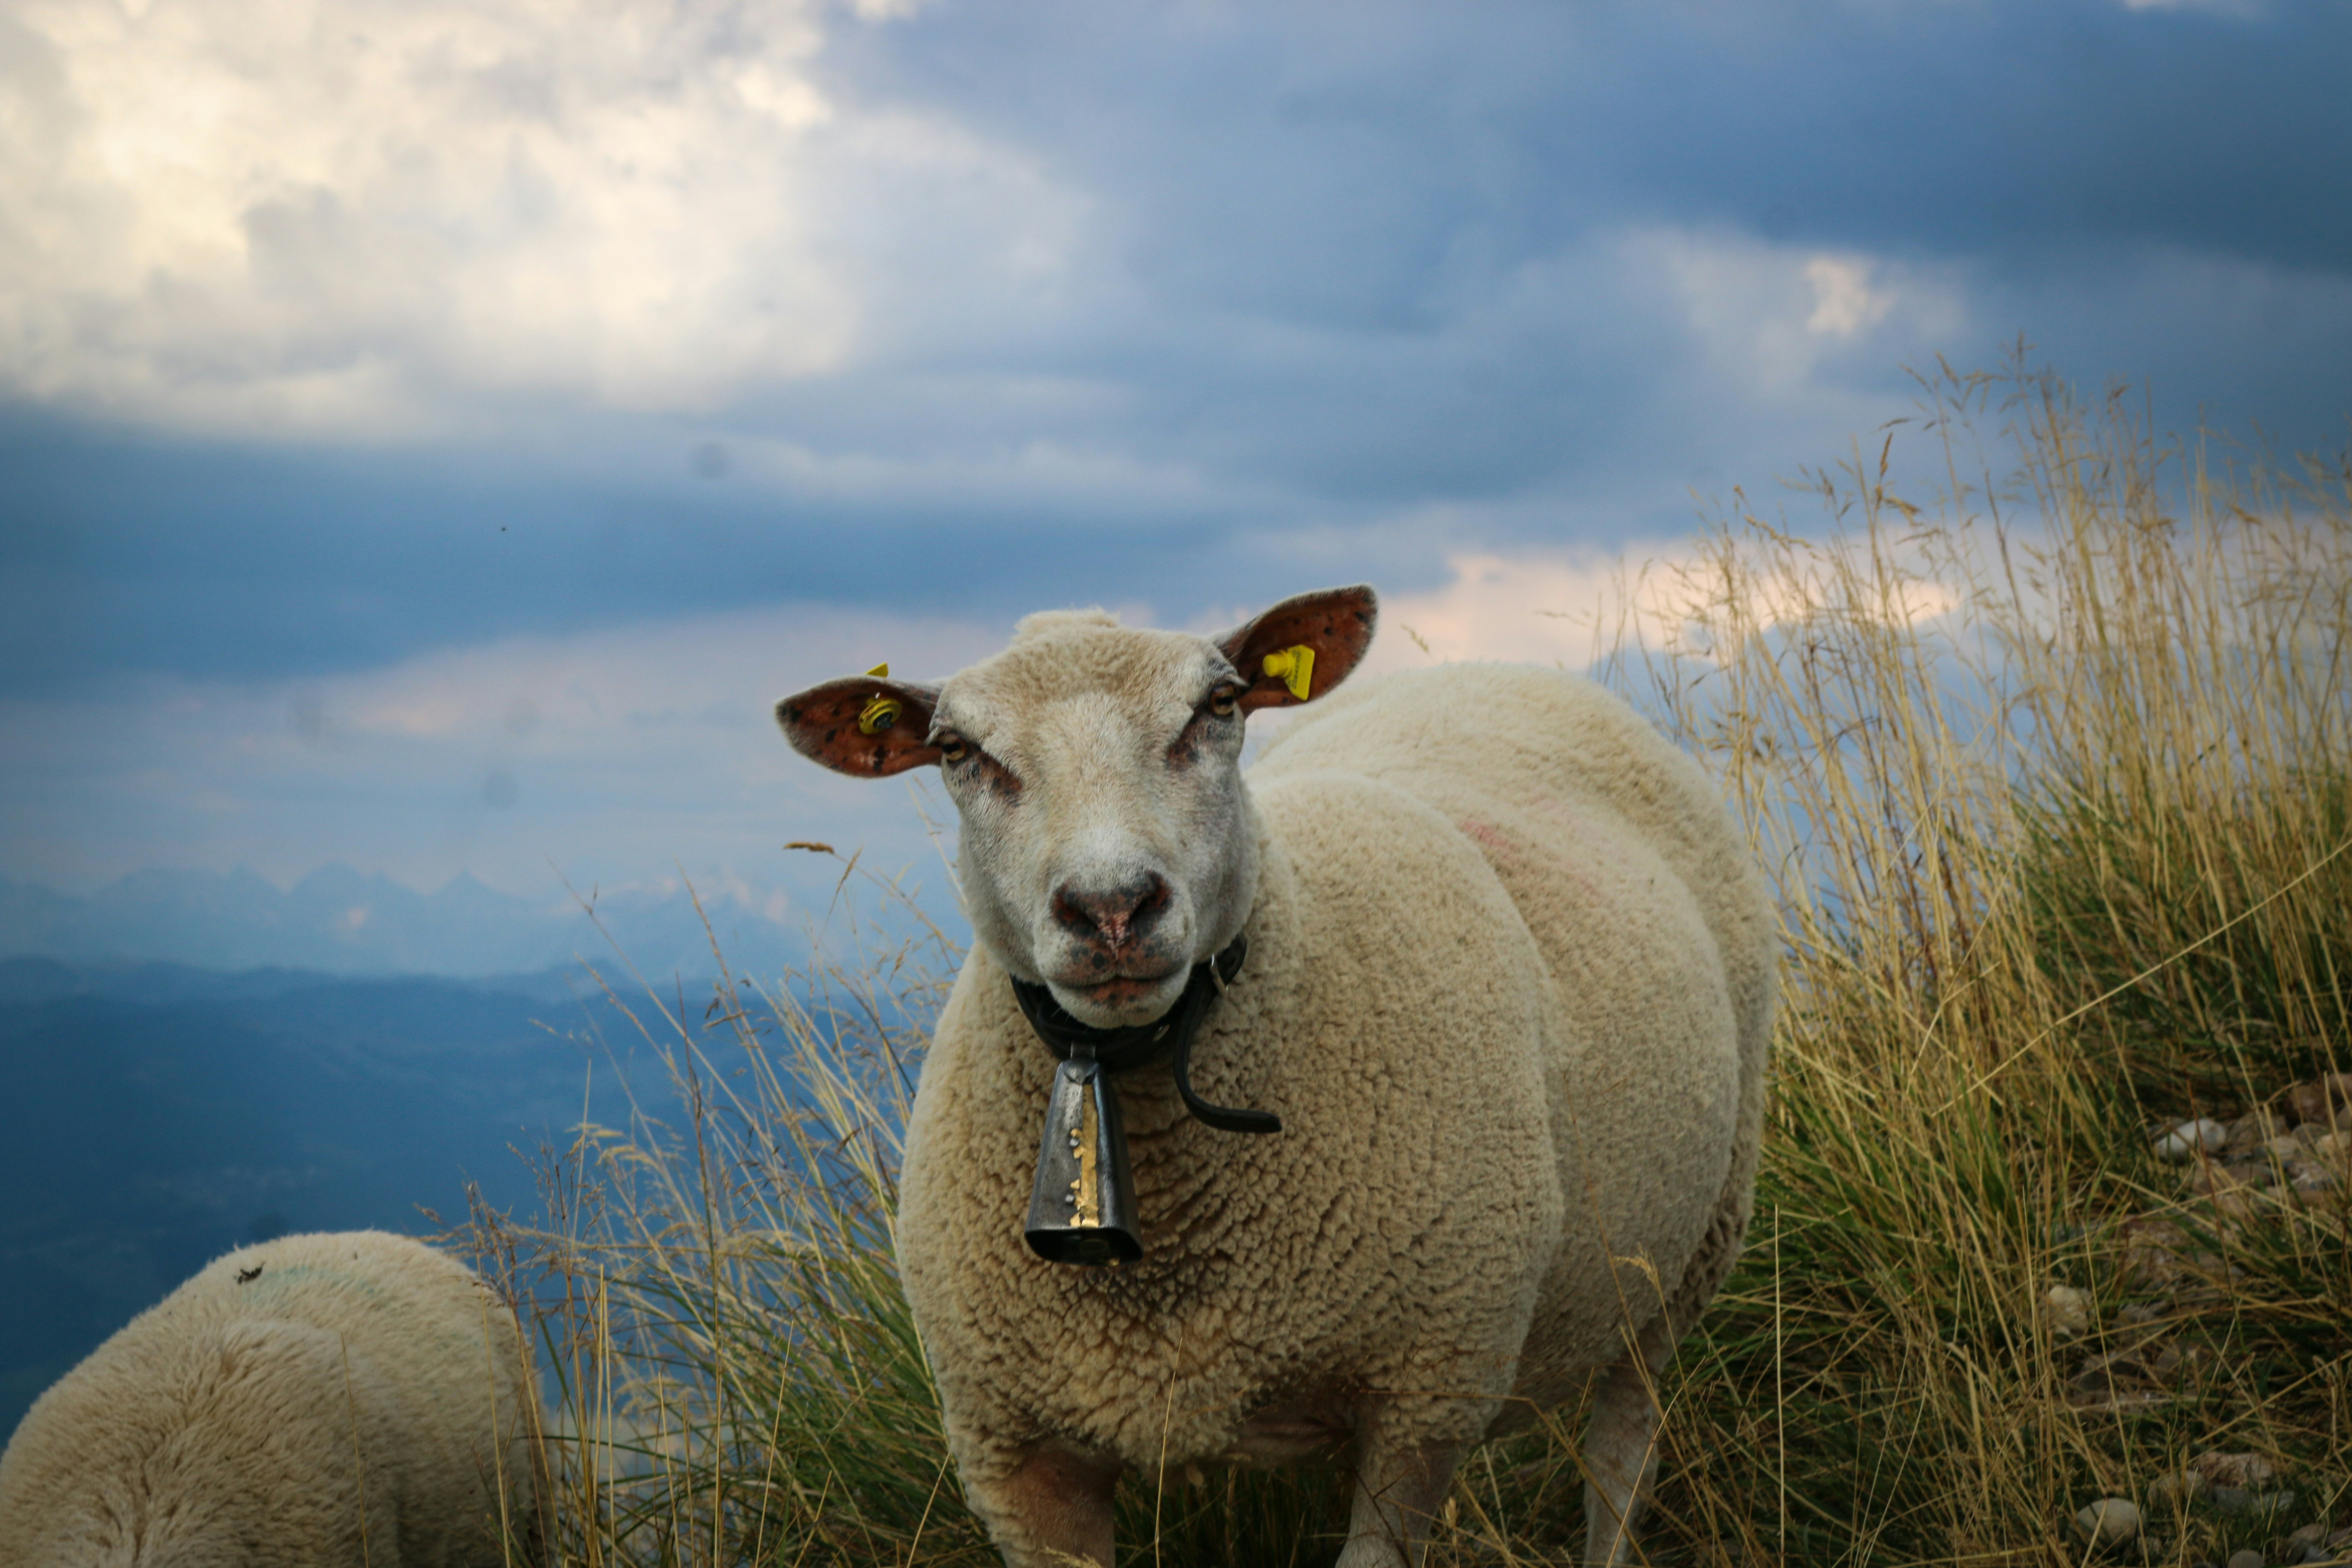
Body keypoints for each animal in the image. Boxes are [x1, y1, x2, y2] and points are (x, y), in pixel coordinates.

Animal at [774, 584, 1777, 1568]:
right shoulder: (1016, 1460)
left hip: (1686, 1252)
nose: (1111, 909)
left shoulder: (1422, 1404)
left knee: (1622, 1458)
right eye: (956, 750)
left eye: (1217, 705)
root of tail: (1503, 669)